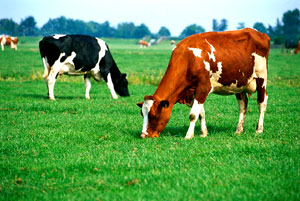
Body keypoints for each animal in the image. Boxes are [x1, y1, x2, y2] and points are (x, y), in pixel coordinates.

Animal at [137, 27, 270, 138]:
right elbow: (201, 113)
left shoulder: (204, 87)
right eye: (142, 114)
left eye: (153, 115)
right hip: (239, 83)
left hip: (261, 78)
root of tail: (259, 33)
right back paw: (239, 130)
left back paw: (259, 130)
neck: (188, 58)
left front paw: (188, 136)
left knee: (262, 102)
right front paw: (203, 133)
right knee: (243, 104)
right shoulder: (194, 90)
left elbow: (193, 114)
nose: (143, 135)